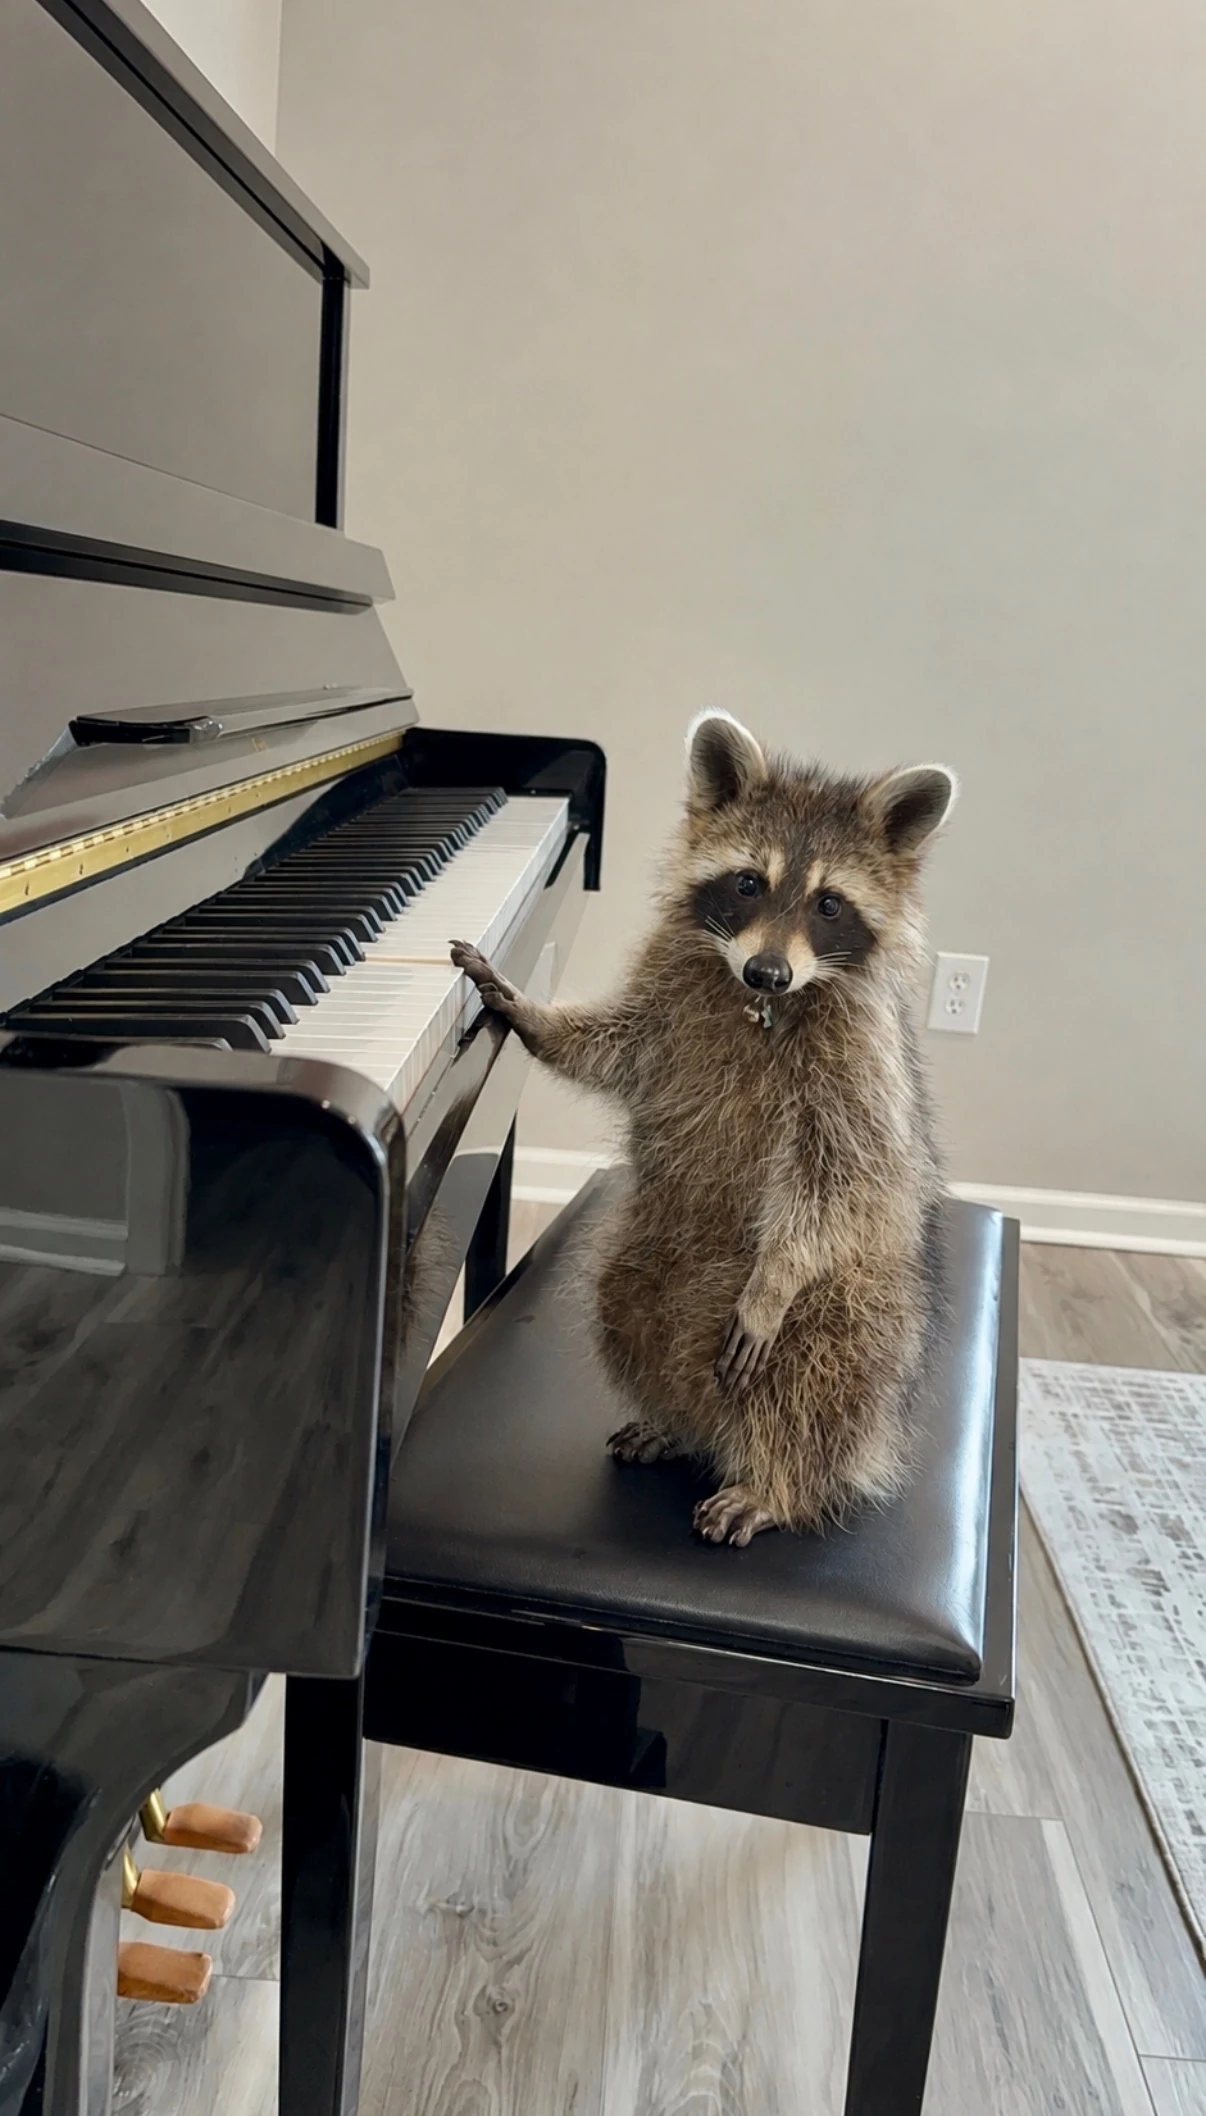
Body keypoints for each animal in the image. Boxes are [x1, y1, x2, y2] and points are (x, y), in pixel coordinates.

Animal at [452, 711, 957, 1545]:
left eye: (829, 904)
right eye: (749, 883)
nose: (767, 973)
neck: (758, 1001)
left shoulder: (860, 1067)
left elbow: (841, 1174)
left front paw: (774, 1279)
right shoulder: (667, 1002)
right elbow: (612, 1048)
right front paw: (534, 1015)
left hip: (873, 1307)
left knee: (828, 1354)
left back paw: (782, 1480)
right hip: (648, 1252)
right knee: (624, 1301)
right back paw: (684, 1424)